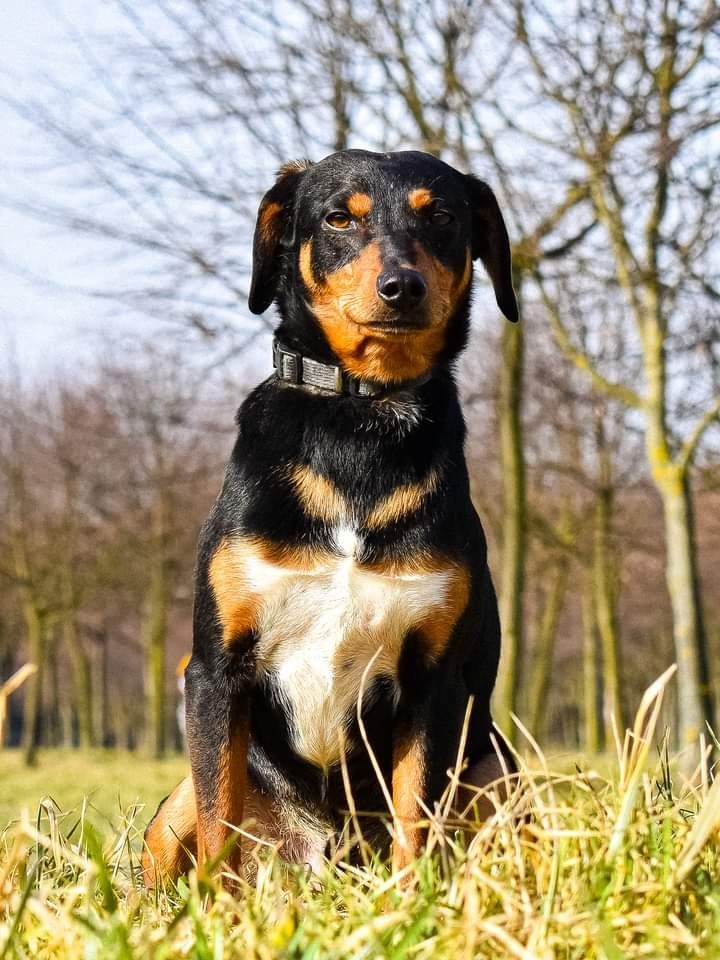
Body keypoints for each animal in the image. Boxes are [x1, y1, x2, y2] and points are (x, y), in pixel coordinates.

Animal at [142, 146, 516, 888]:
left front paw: (413, 902)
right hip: (173, 808)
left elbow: (416, 821)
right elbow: (219, 817)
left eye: (444, 217)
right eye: (340, 217)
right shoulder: (215, 669)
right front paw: (218, 909)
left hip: (500, 766)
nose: (402, 286)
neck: (361, 419)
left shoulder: (434, 681)